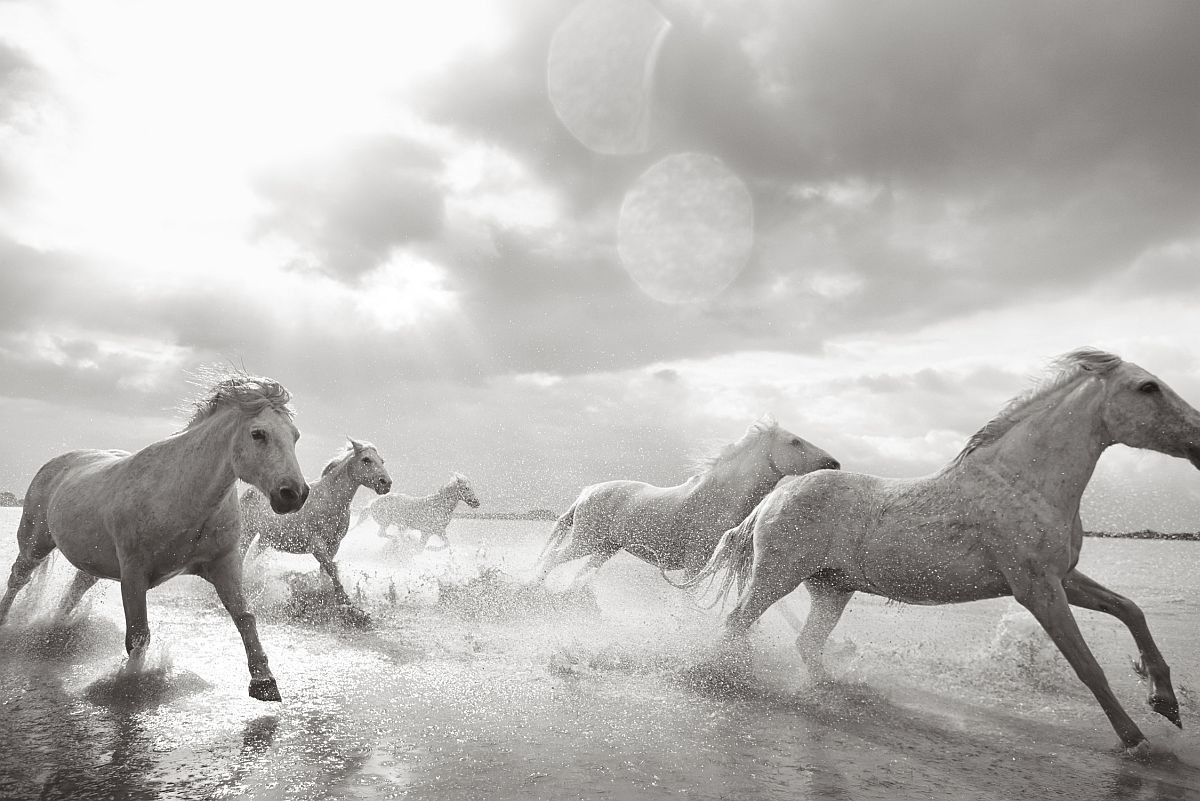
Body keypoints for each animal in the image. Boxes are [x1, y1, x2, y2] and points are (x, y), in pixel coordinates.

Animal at [0, 376, 309, 700]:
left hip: (93, 561)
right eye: (258, 434)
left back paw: (57, 625)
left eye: (295, 436)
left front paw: (264, 681)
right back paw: (6, 621)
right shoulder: (133, 575)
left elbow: (244, 616)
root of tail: (54, 464)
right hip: (35, 543)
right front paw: (131, 680)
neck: (181, 494)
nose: (294, 494)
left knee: (75, 589)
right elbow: (138, 634)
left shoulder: (223, 565)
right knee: (18, 579)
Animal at [241, 438, 391, 613]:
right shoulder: (316, 544)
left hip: (265, 540)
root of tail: (250, 492)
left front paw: (325, 595)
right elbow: (331, 568)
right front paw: (343, 599)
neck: (329, 500)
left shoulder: (334, 545)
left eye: (382, 461)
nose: (386, 483)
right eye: (366, 459)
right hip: (247, 533)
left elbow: (325, 570)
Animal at [530, 417, 840, 592]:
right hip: (585, 542)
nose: (834, 464)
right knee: (552, 559)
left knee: (579, 575)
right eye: (794, 441)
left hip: (606, 549)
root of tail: (587, 492)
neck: (718, 501)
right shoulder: (694, 565)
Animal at [686, 350, 1200, 753]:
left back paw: (833, 688)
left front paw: (1166, 703)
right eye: (1148, 387)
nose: (1199, 437)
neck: (1020, 482)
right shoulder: (1037, 590)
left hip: (832, 588)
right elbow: (1089, 667)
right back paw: (717, 677)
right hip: (776, 577)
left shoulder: (1063, 577)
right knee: (736, 623)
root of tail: (773, 497)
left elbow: (1130, 610)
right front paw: (1135, 739)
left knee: (807, 643)